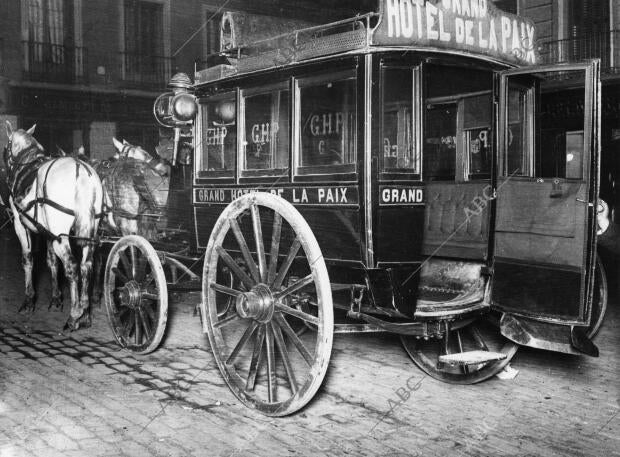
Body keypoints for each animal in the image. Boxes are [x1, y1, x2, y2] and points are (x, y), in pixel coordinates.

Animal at [3, 119, 111, 330]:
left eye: (7, 145)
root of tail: (81, 171)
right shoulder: (47, 232)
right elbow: (52, 262)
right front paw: (56, 299)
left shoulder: (21, 225)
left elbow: (28, 259)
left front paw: (29, 300)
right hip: (85, 232)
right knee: (87, 265)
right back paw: (85, 313)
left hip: (61, 236)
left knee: (72, 267)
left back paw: (74, 315)